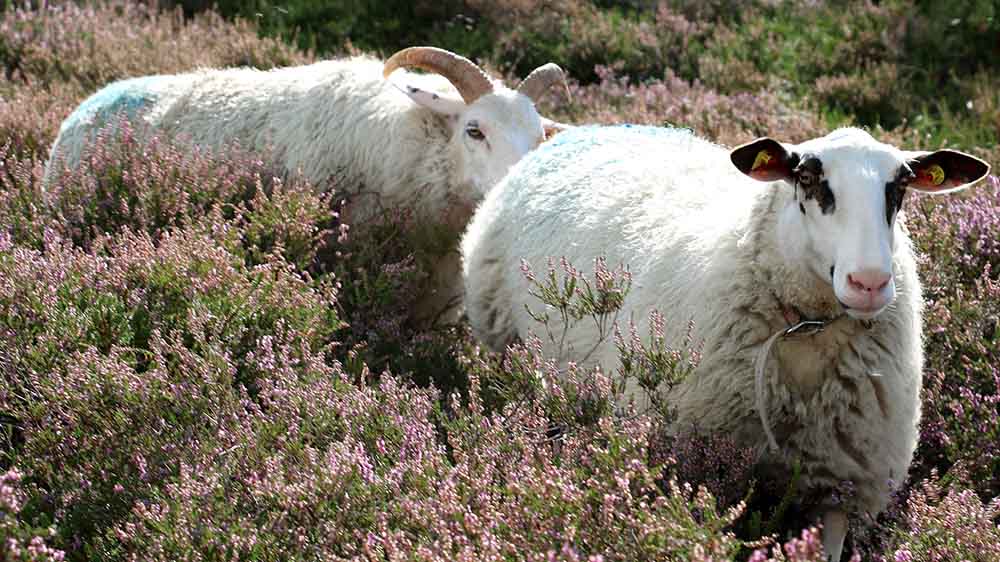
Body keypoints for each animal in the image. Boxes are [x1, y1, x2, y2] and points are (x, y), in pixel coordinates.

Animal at [461, 124, 991, 560]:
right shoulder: (687, 465)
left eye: (898, 187)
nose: (870, 282)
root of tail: (584, 128)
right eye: (807, 178)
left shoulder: (840, 487)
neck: (805, 333)